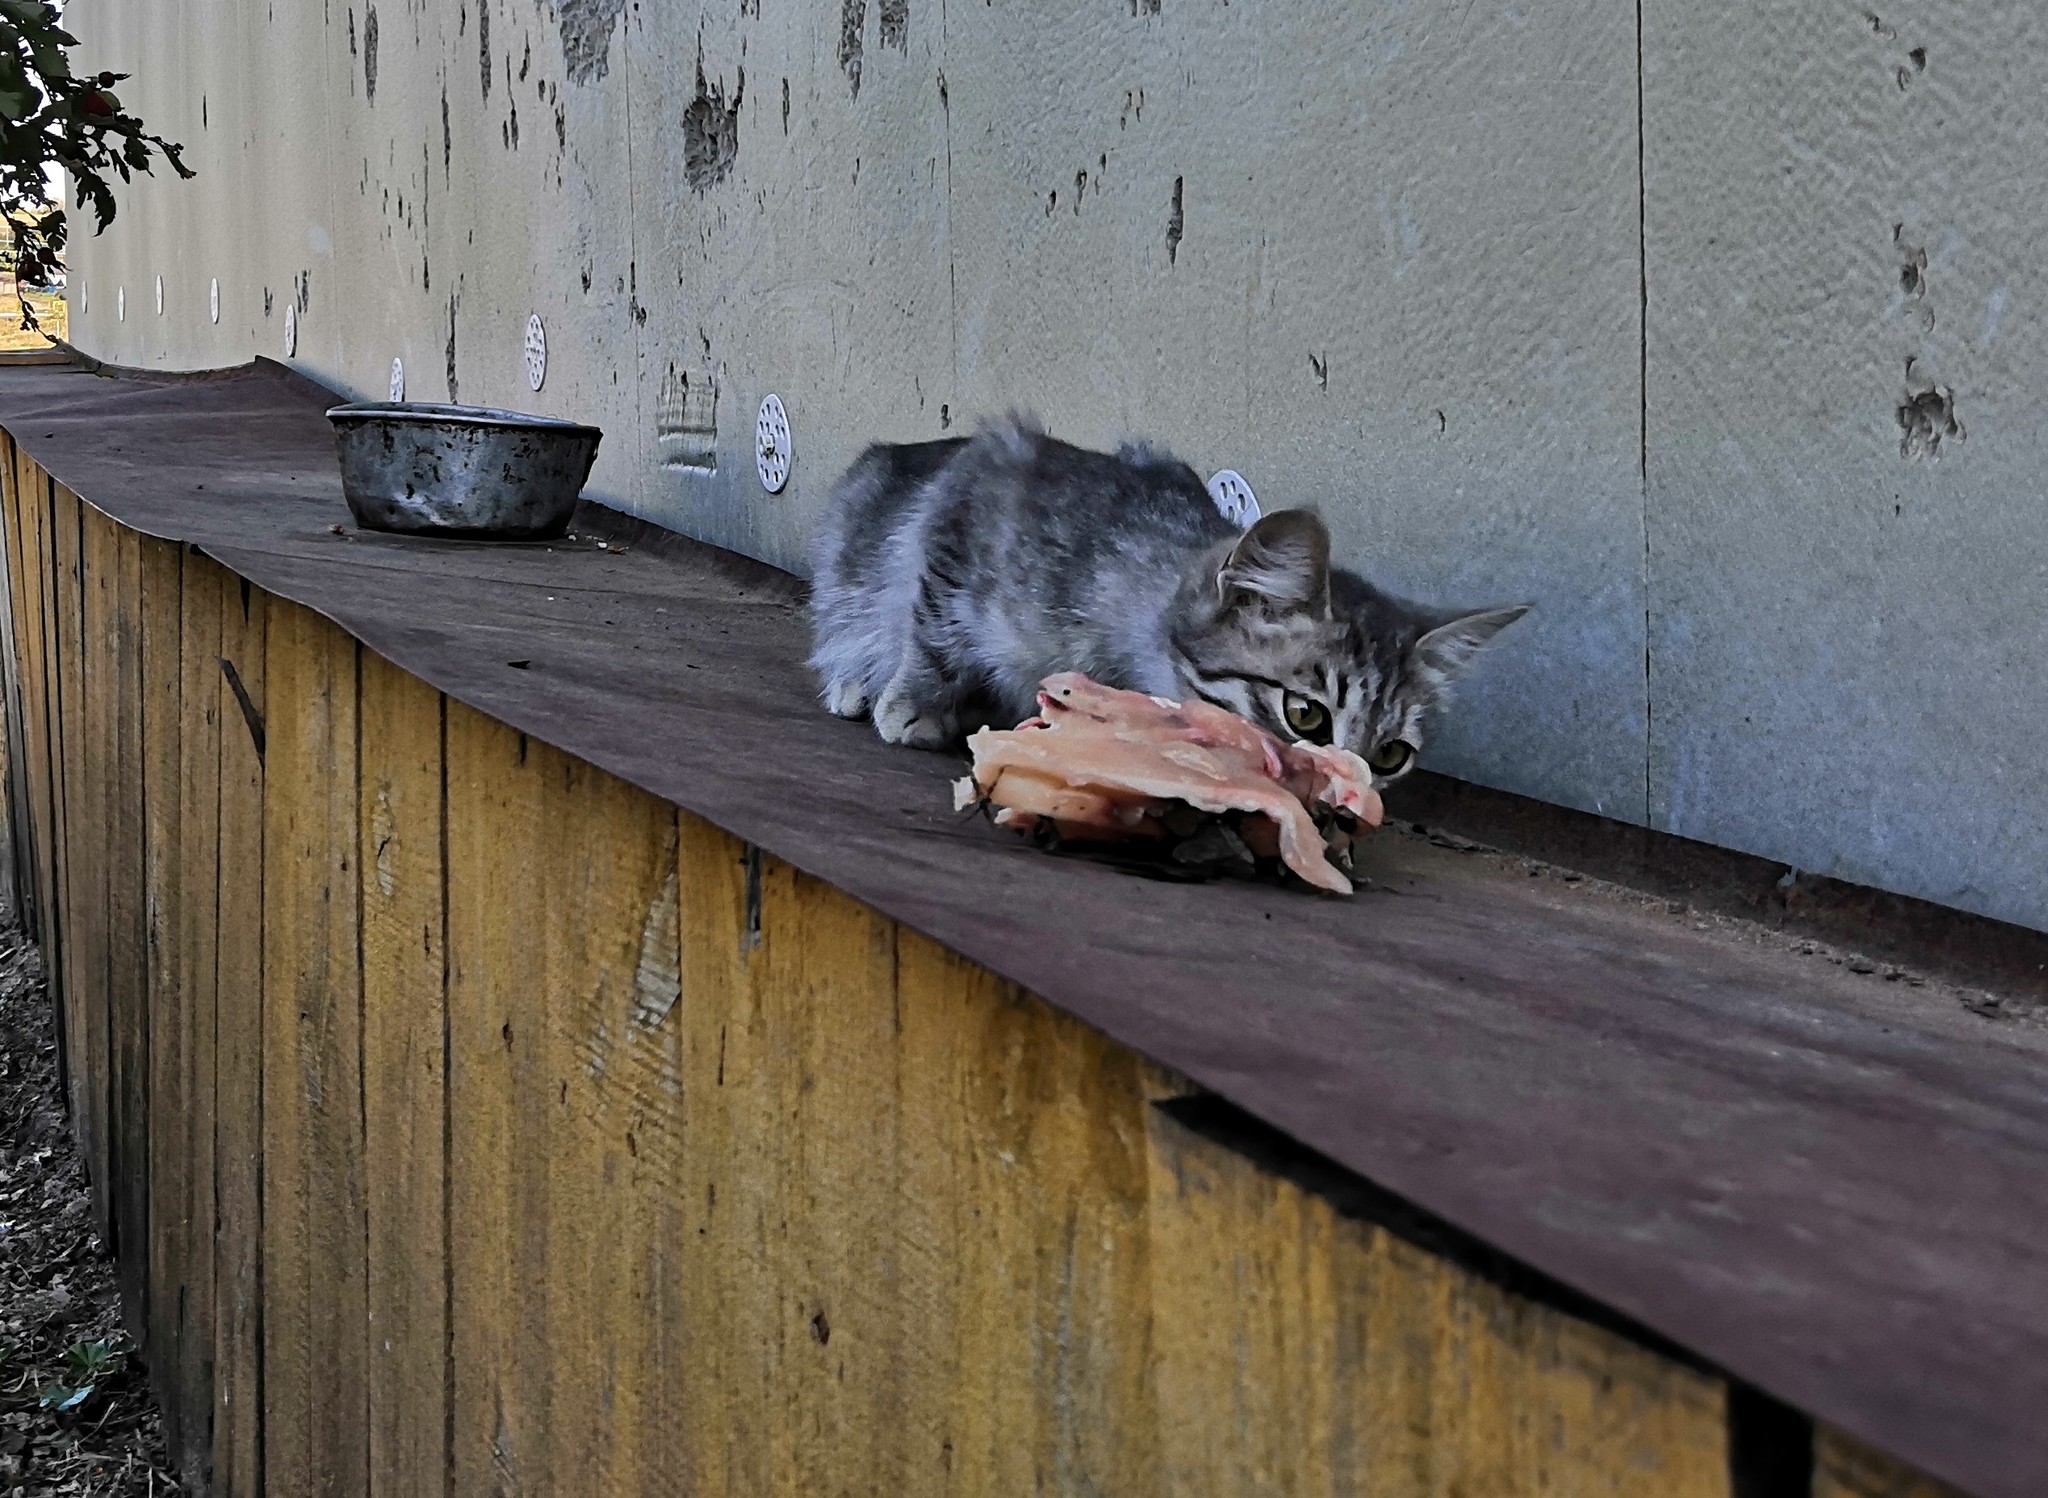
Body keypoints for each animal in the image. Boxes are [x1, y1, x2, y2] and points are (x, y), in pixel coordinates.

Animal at [806, 415, 1531, 778]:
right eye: (1305, 716)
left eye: (1389, 757)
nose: (1347, 800)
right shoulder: (978, 487)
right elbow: (935, 627)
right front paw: (912, 704)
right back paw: (859, 681)